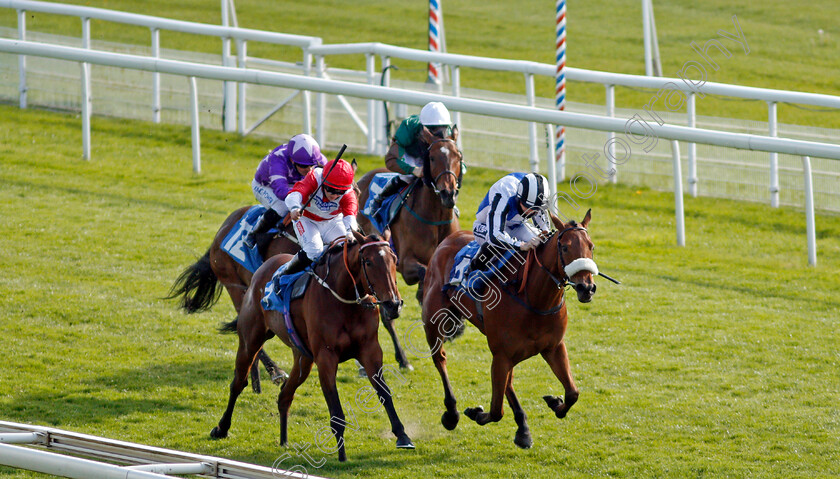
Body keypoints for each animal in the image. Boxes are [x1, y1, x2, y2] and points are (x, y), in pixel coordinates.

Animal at [210, 231, 414, 464]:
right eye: (369, 262)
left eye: (394, 260)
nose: (393, 304)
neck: (346, 299)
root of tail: (263, 268)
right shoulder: (326, 357)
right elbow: (335, 408)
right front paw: (342, 454)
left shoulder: (370, 350)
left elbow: (384, 393)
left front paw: (402, 436)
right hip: (250, 340)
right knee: (238, 382)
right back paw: (222, 428)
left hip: (302, 358)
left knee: (285, 394)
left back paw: (284, 440)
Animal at [352, 126, 462, 372]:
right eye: (432, 158)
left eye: (458, 157)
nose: (448, 193)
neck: (435, 218)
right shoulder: (405, 264)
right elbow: (424, 273)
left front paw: (454, 323)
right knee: (386, 315)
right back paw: (402, 358)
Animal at [424, 210, 600, 450]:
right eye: (565, 247)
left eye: (591, 246)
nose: (586, 288)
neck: (534, 299)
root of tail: (449, 239)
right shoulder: (502, 354)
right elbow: (496, 410)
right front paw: (476, 413)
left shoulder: (553, 347)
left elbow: (573, 393)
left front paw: (555, 402)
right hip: (433, 321)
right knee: (440, 358)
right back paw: (452, 413)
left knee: (508, 382)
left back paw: (523, 428)